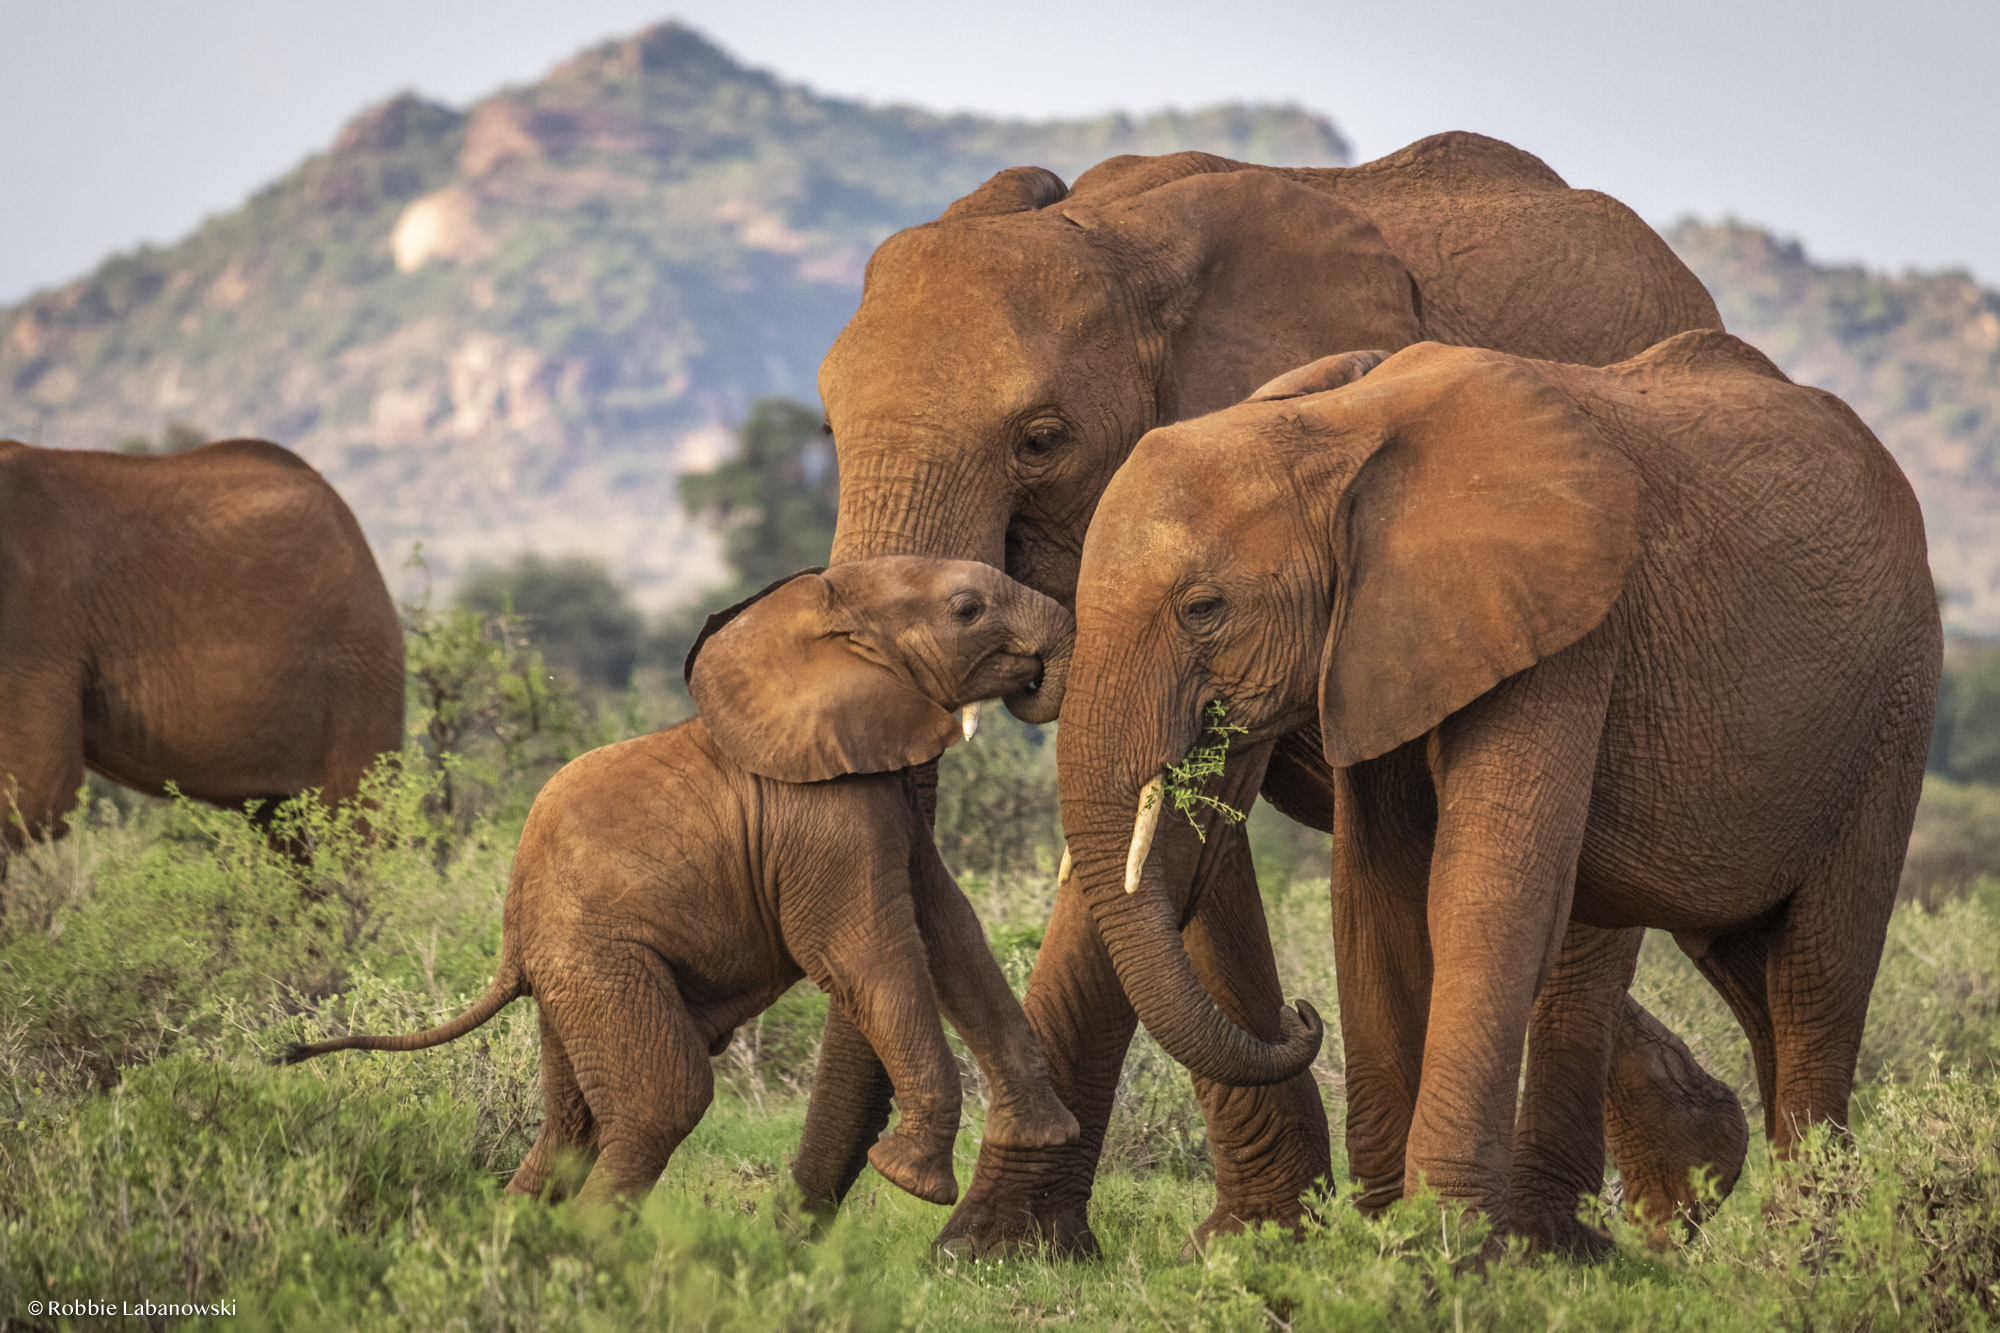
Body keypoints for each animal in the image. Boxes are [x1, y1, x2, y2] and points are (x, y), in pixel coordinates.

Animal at [282, 558, 1084, 1212]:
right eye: (967, 608)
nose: (1037, 678)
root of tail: (511, 942)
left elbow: (951, 929)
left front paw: (1045, 1135)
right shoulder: (823, 814)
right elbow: (867, 950)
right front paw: (911, 1179)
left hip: (571, 983)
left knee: (573, 1124)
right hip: (602, 959)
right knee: (664, 1100)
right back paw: (588, 1253)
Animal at [816, 132, 1745, 1252]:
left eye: (1039, 439)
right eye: (826, 431)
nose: (839, 1199)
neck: (1120, 237)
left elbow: (1164, 837)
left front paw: (985, 1247)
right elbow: (1172, 840)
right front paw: (1248, 1238)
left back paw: (1592, 1227)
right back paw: (1693, 1173)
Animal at [1052, 331, 1940, 1253]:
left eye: (1204, 607)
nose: (1300, 1015)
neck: (1334, 431)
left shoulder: (1566, 632)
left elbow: (1482, 893)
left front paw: (1439, 1246)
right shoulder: (1378, 646)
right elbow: (1375, 901)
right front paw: (1381, 1236)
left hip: (1895, 705)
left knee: (1817, 968)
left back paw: (1807, 1245)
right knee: (1753, 974)